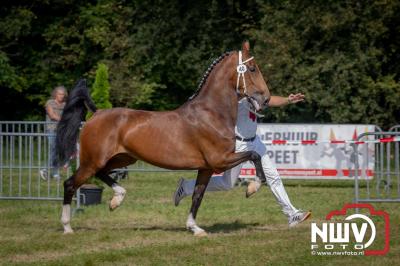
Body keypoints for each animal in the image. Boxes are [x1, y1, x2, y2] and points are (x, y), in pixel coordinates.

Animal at [54, 41, 270, 235]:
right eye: (252, 68)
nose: (266, 99)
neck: (211, 113)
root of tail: (96, 113)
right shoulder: (220, 160)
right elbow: (254, 155)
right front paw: (252, 188)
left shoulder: (207, 168)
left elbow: (198, 196)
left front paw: (195, 228)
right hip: (93, 161)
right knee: (70, 184)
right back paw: (67, 227)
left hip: (122, 159)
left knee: (101, 174)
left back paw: (116, 200)